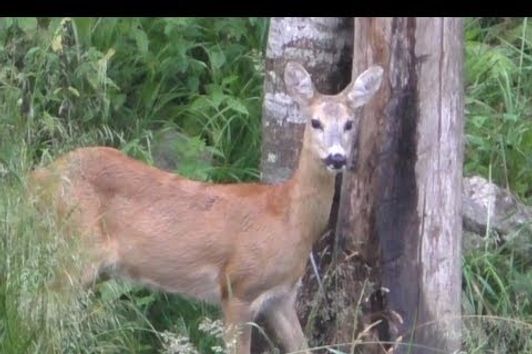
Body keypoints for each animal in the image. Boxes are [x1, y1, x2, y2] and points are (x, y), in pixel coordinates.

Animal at [31, 62, 382, 352]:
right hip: (76, 250)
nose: (336, 158)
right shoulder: (238, 287)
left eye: (350, 123)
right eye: (315, 122)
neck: (288, 219)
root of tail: (39, 176)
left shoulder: (282, 296)